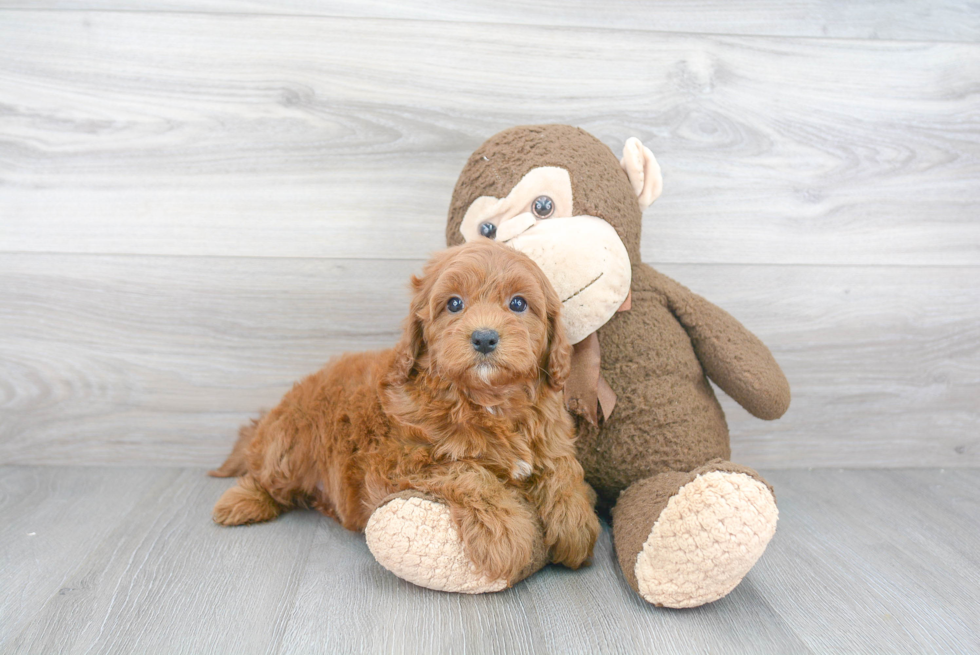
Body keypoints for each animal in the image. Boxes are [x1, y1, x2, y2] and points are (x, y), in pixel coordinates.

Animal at [211, 240, 600, 584]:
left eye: (518, 304)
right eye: (454, 304)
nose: (484, 338)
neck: (487, 399)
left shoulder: (551, 434)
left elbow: (563, 467)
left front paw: (575, 522)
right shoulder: (399, 459)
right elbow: (469, 471)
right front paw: (505, 533)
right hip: (292, 442)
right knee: (264, 475)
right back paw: (240, 503)